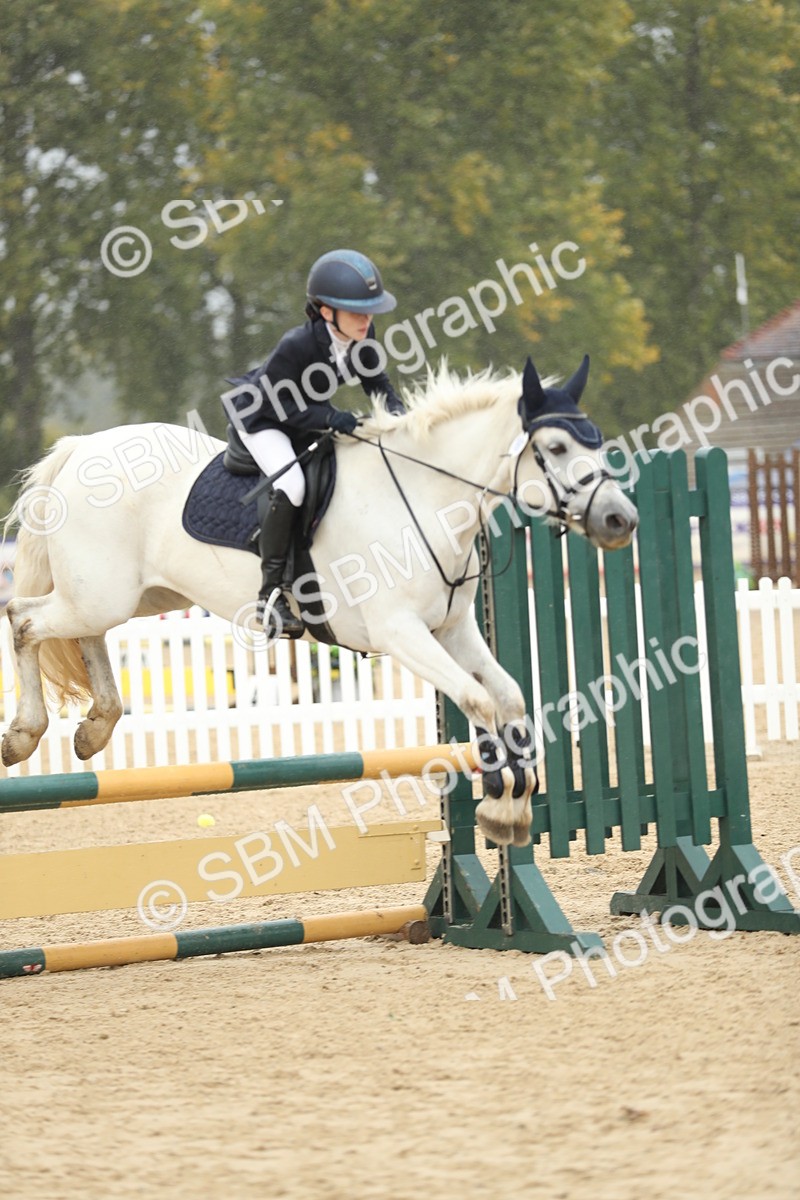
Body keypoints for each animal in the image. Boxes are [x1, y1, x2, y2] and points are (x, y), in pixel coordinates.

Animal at [1, 355, 637, 846]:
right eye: (554, 446)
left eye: (596, 440)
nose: (620, 520)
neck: (426, 499)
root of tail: (81, 448)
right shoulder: (399, 633)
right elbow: (479, 700)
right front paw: (500, 801)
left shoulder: (453, 631)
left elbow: (509, 697)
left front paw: (514, 804)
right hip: (102, 593)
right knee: (24, 620)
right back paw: (26, 734)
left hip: (134, 595)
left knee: (81, 631)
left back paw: (95, 728)